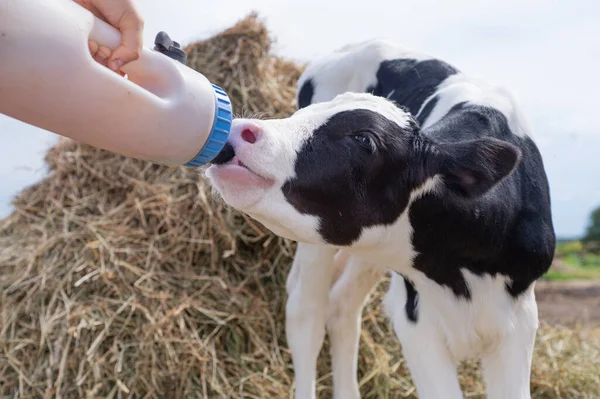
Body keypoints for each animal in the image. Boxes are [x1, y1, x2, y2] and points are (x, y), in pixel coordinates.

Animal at [204, 38, 556, 399]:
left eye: (364, 138)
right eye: (302, 115)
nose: (239, 130)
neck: (460, 275)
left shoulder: (519, 323)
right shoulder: (415, 321)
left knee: (341, 305)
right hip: (318, 248)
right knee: (306, 313)